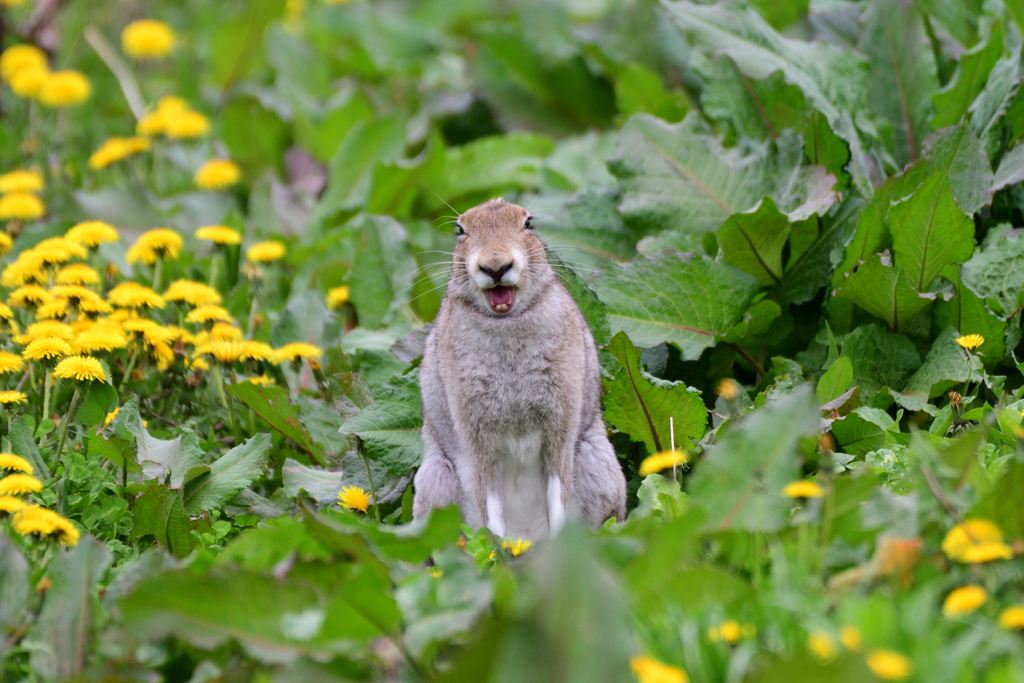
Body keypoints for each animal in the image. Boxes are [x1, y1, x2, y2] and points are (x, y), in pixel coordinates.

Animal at [413, 196, 622, 540]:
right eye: (460, 231)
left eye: (528, 223)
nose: (495, 266)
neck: (506, 322)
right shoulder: (478, 439)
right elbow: (491, 501)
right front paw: (497, 550)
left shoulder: (559, 428)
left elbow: (557, 492)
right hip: (436, 480)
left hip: (598, 464)